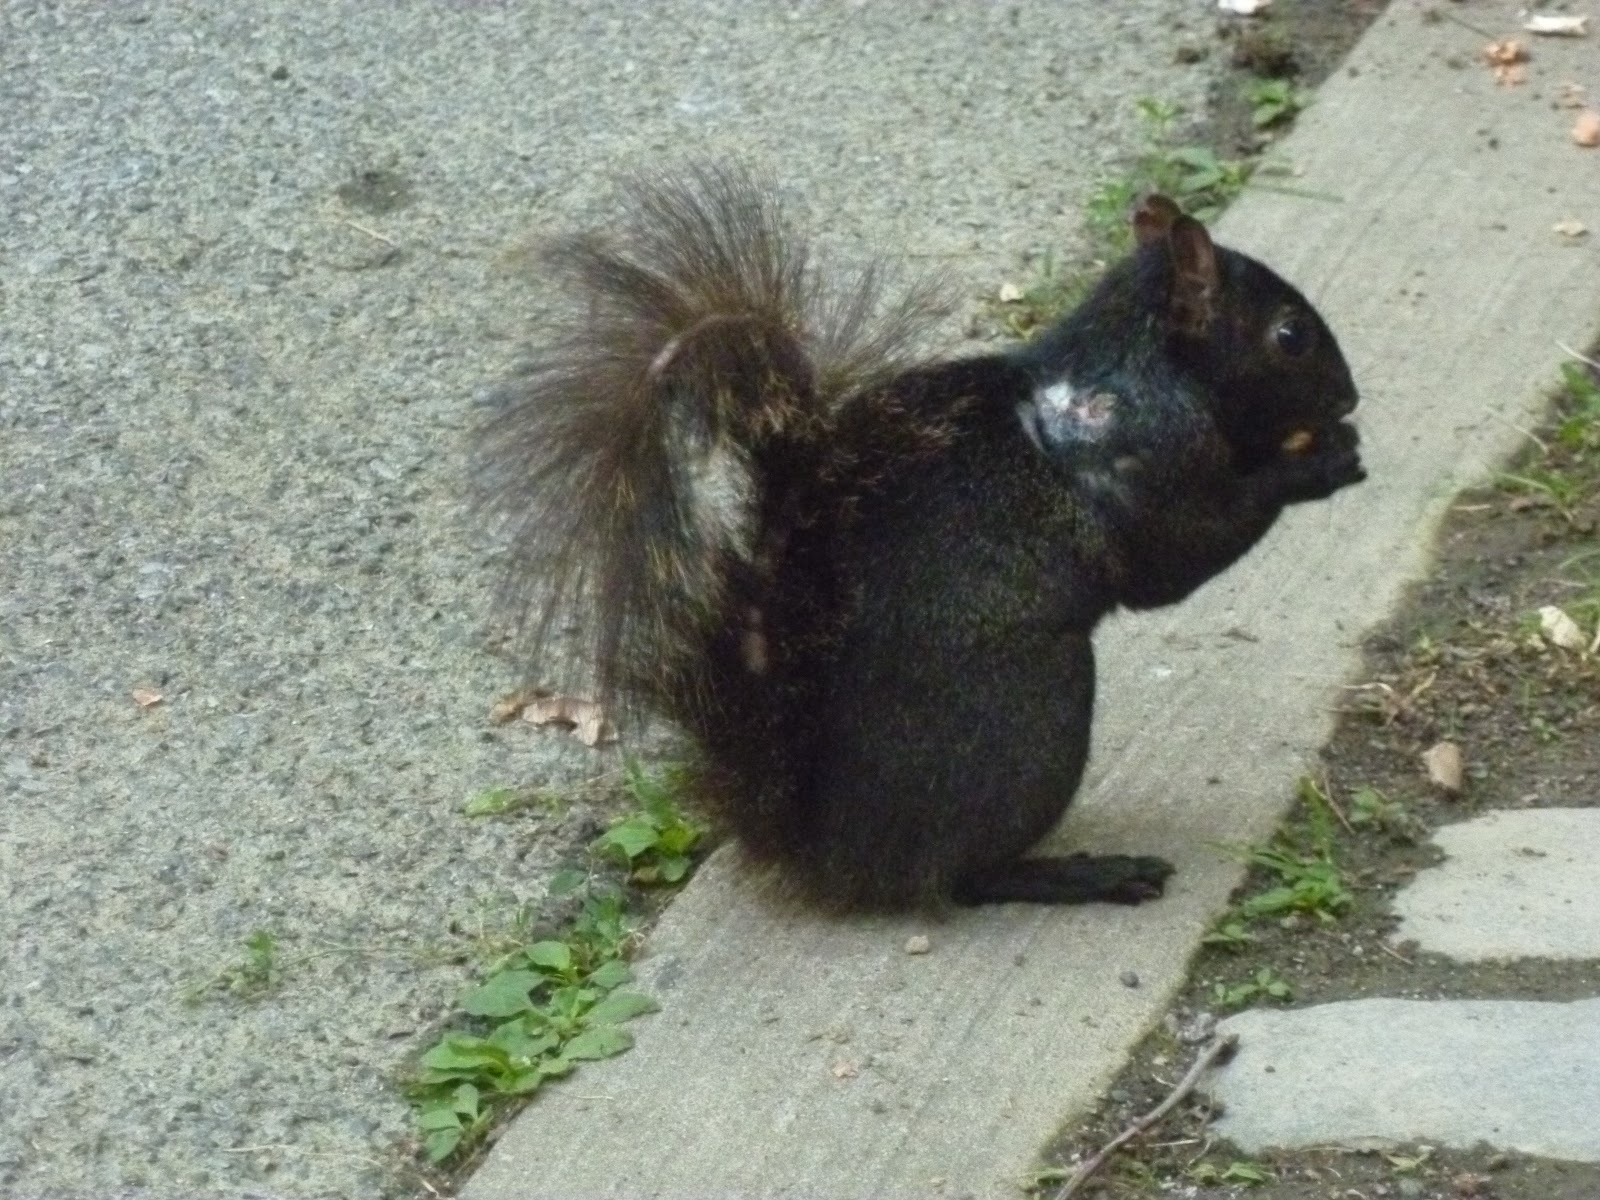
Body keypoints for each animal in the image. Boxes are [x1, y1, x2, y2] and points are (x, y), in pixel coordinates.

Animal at [475, 164, 1364, 912]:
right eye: (1290, 335)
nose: (1350, 397)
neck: (1125, 373)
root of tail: (825, 848)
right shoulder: (1151, 470)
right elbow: (1179, 554)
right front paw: (1318, 464)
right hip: (1033, 714)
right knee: (963, 880)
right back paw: (1083, 875)